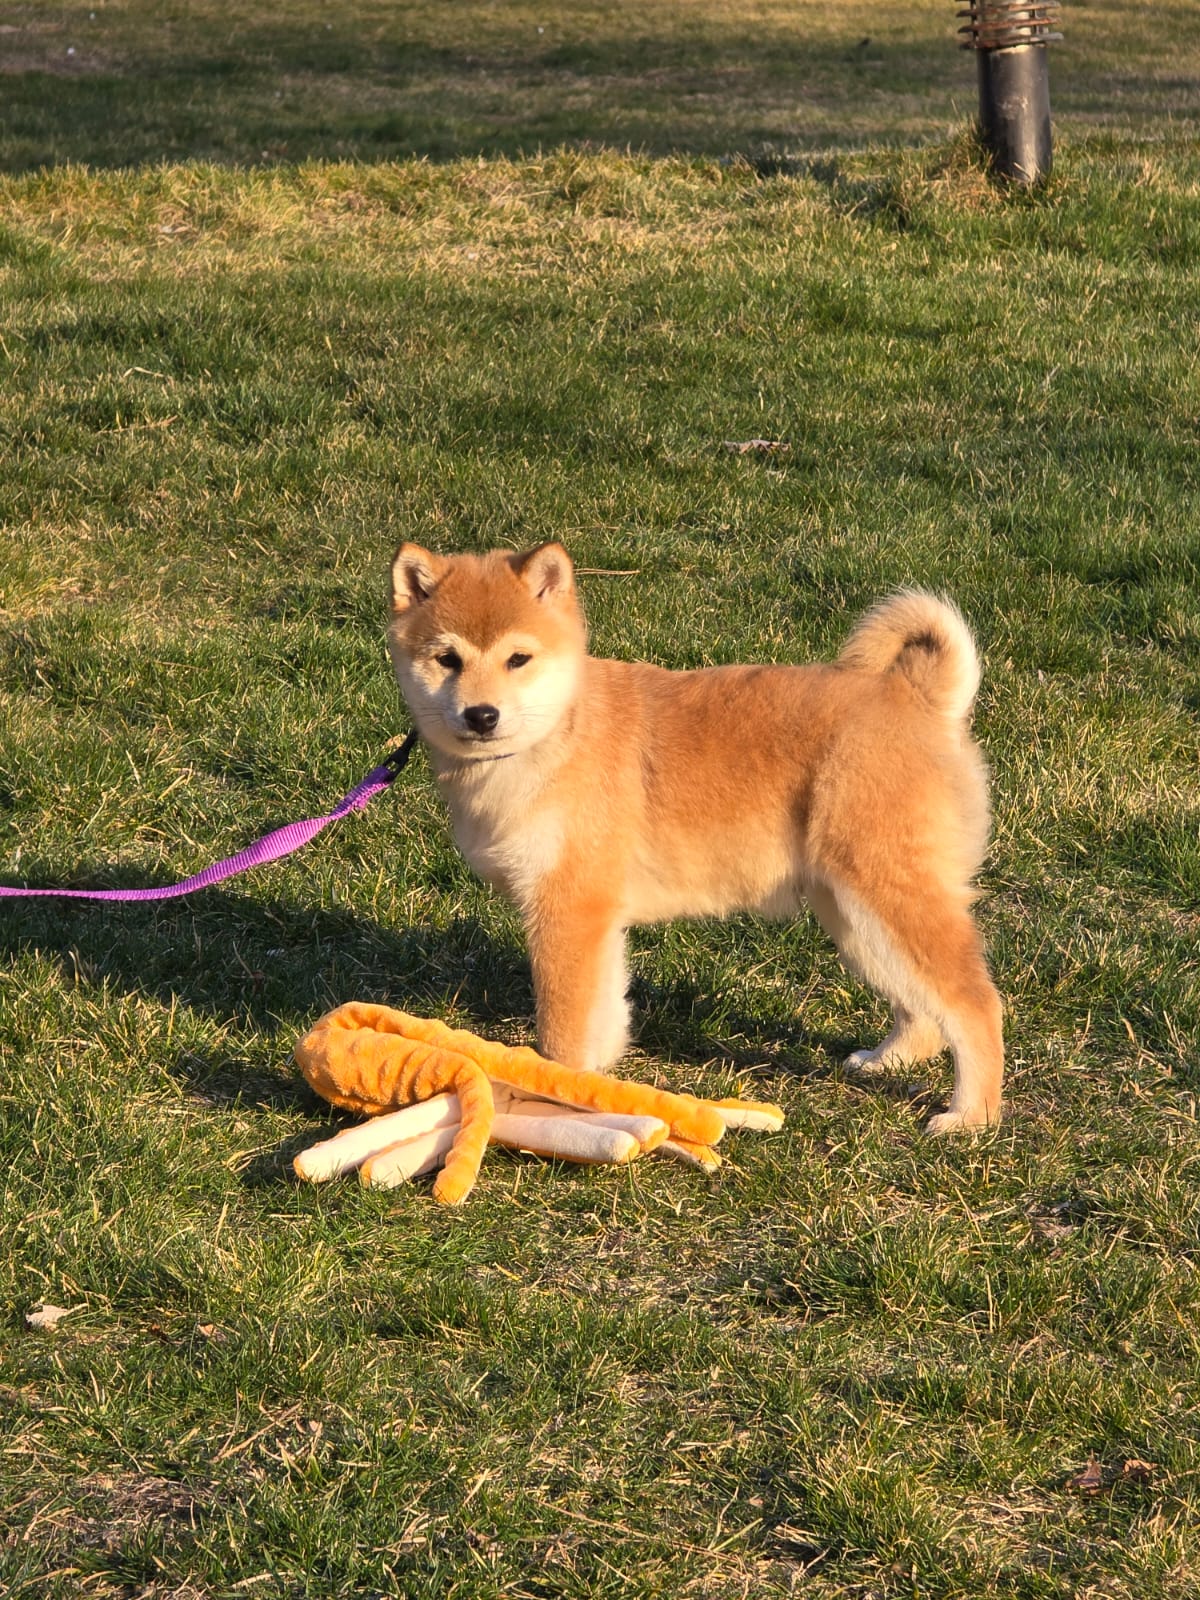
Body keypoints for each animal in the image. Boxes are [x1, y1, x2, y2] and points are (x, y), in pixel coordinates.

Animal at [387, 544, 1004, 1132]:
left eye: (518, 658)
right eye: (447, 659)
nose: (481, 714)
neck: (555, 736)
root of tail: (918, 699)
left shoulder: (567, 911)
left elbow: (562, 1033)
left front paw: (558, 1097)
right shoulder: (595, 921)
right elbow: (601, 1016)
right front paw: (598, 1081)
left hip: (887, 896)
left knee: (975, 1005)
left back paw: (971, 1116)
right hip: (854, 915)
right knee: (923, 1009)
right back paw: (889, 1060)